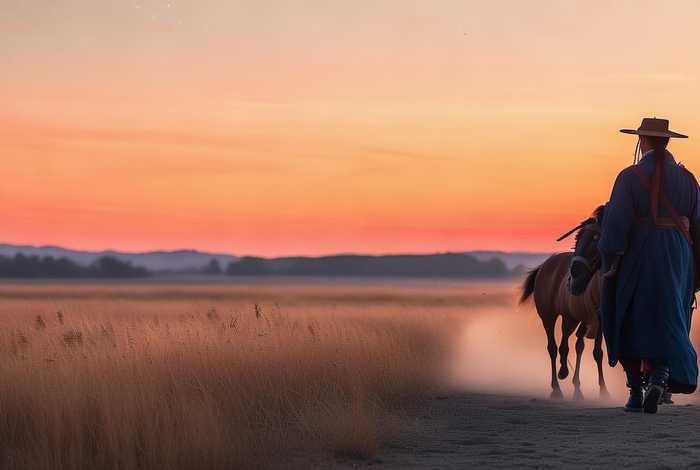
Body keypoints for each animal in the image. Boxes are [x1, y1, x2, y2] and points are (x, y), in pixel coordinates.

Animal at [520, 206, 609, 400]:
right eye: (577, 239)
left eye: (595, 238)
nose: (573, 275)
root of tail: (545, 265)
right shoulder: (583, 317)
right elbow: (572, 348)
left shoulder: (599, 322)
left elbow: (597, 352)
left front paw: (603, 390)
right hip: (550, 316)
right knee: (554, 347)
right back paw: (557, 386)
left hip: (576, 319)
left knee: (574, 345)